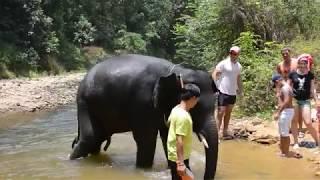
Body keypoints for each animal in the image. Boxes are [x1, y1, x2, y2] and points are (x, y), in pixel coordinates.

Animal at [70, 53, 219, 179]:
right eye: (196, 109)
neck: (175, 71)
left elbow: (167, 136)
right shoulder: (142, 103)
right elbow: (146, 139)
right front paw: (143, 170)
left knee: (96, 140)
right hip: (85, 103)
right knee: (90, 138)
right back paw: (72, 161)